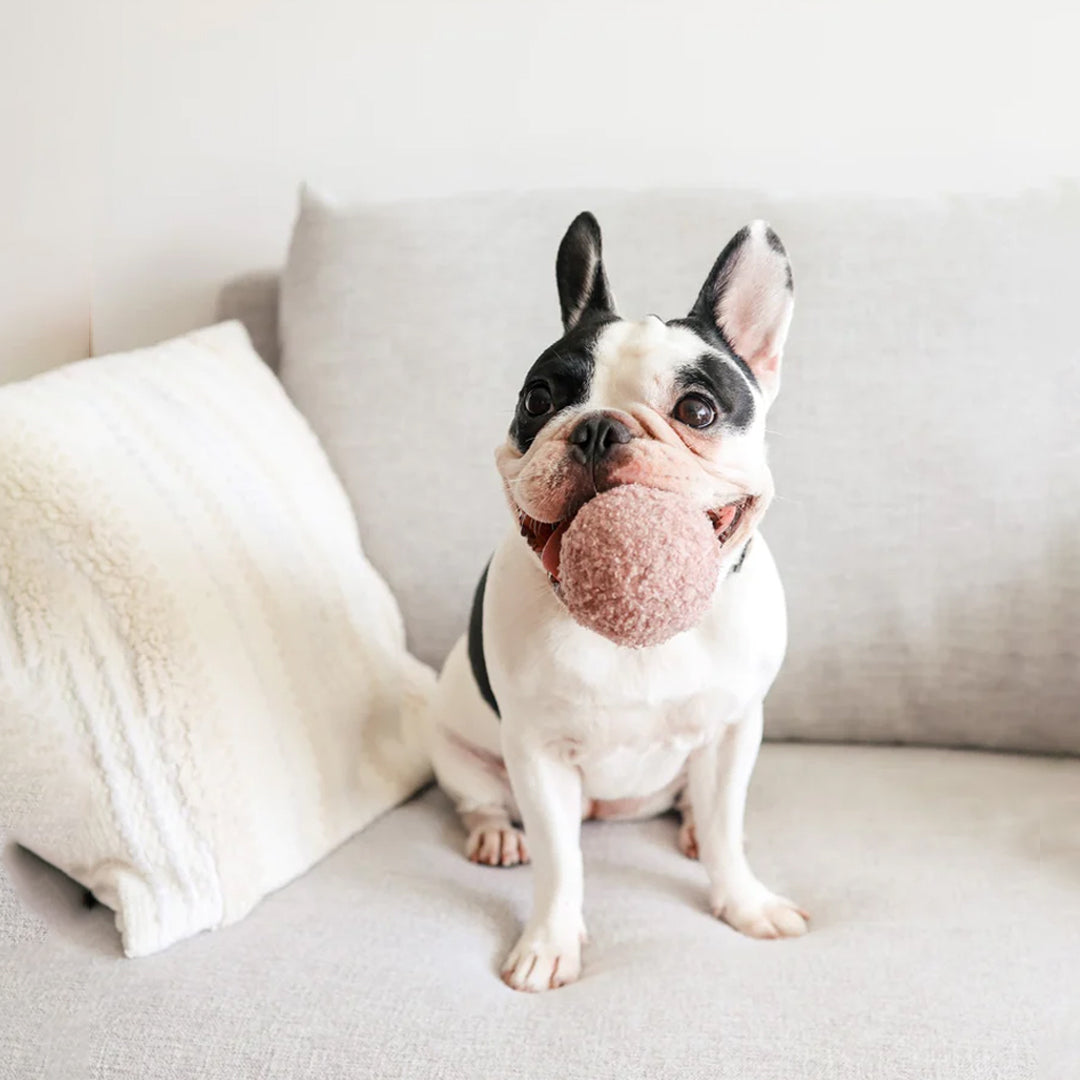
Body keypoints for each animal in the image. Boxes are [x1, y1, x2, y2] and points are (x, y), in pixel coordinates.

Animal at [425, 208, 807, 989]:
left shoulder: (734, 730)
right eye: (537, 400)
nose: (599, 426)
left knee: (702, 811)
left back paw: (689, 828)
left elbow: (728, 831)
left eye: (699, 409)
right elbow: (559, 864)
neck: (639, 636)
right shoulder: (537, 754)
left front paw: (745, 904)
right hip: (454, 750)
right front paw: (548, 944)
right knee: (482, 802)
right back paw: (494, 837)